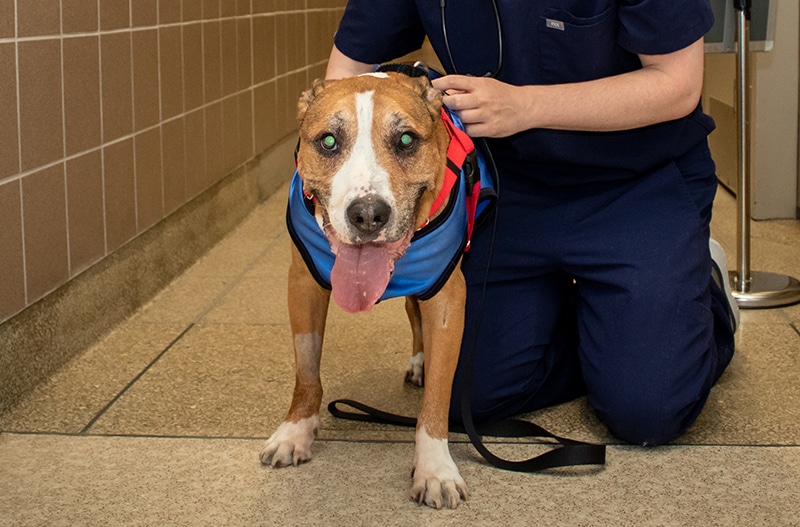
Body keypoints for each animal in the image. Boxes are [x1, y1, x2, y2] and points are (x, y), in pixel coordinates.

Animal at [260, 71, 482, 512]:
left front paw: (435, 469)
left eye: (406, 140)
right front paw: (295, 432)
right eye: (328, 141)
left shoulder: (448, 298)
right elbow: (306, 370)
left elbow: (439, 394)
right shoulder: (303, 284)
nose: (367, 214)